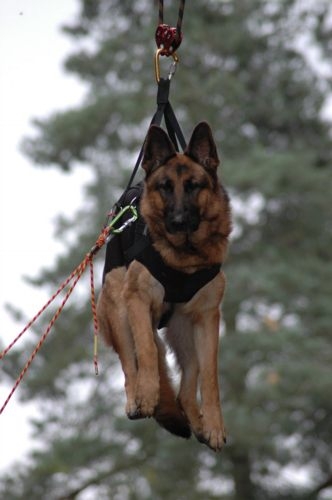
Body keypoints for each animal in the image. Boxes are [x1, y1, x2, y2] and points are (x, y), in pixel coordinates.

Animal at [96, 123, 231, 452]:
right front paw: (148, 395)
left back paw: (198, 424)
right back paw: (137, 399)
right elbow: (144, 351)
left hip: (185, 332)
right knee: (130, 367)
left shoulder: (208, 318)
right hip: (119, 310)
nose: (179, 221)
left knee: (185, 390)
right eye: (165, 187)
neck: (183, 259)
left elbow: (210, 377)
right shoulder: (137, 301)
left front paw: (215, 425)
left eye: (194, 186)